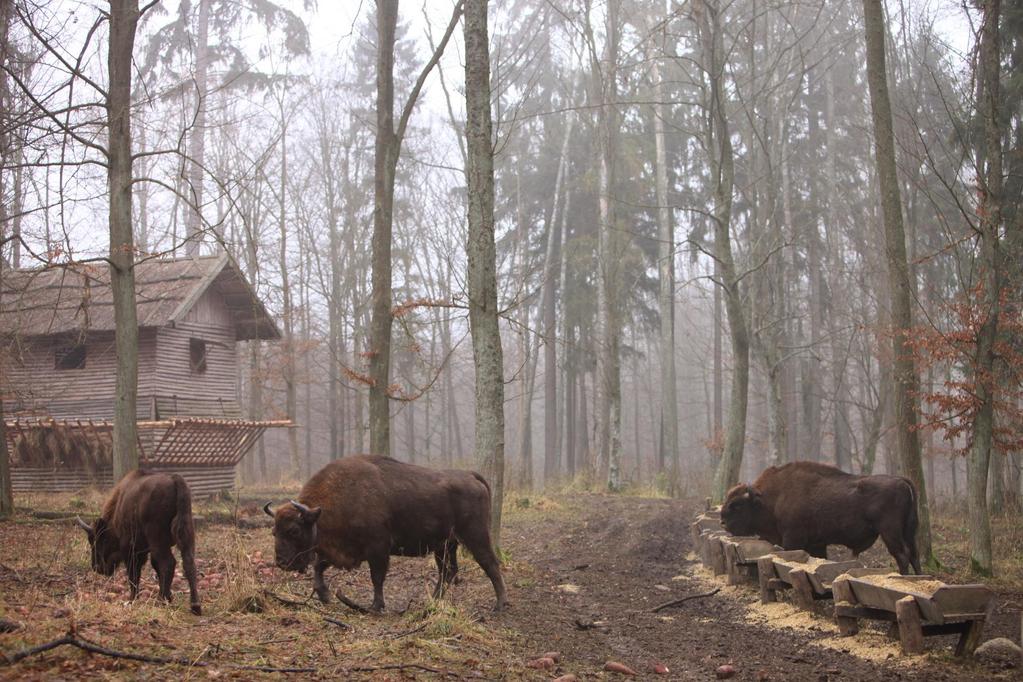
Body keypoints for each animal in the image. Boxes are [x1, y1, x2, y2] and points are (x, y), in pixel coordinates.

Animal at [76, 472, 200, 617]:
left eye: (97, 541)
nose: (96, 567)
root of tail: (175, 479)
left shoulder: (131, 549)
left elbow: (134, 574)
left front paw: (132, 599)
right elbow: (155, 567)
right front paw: (169, 596)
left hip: (158, 540)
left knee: (168, 563)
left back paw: (161, 601)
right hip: (186, 534)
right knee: (188, 562)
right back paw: (195, 606)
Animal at [261, 456, 505, 609]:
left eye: (293, 530)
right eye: (273, 532)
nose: (281, 562)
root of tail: (471, 476)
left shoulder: (377, 549)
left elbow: (376, 577)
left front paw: (375, 606)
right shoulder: (339, 550)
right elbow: (319, 567)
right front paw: (325, 596)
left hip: (475, 536)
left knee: (490, 564)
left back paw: (500, 605)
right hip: (445, 545)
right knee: (448, 571)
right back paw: (432, 602)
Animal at [716, 464, 924, 572]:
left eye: (737, 505)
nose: (723, 522)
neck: (771, 498)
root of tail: (902, 480)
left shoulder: (793, 539)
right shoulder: (817, 544)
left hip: (890, 532)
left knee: (902, 555)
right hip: (909, 531)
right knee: (914, 555)